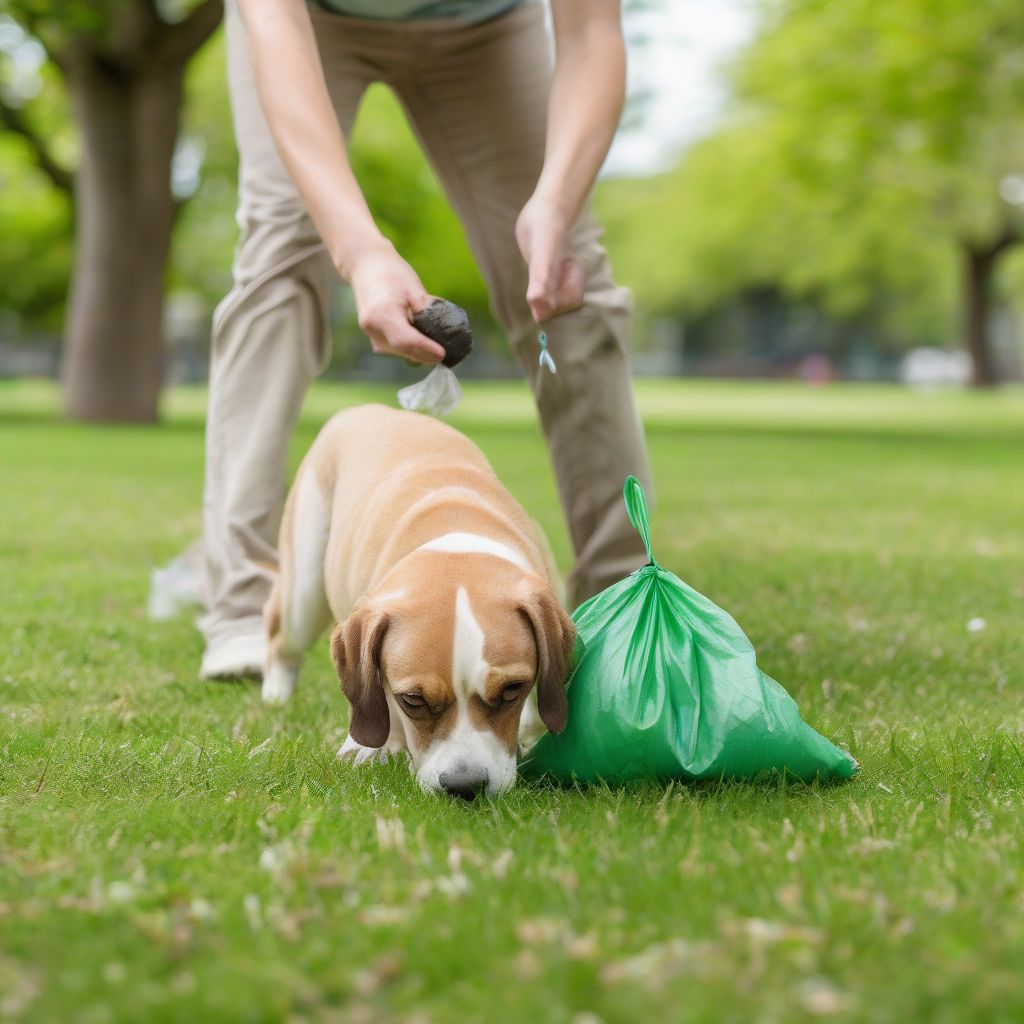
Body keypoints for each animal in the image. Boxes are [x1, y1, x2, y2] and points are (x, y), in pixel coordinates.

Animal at [260, 401, 577, 798]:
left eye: (511, 691)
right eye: (413, 700)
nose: (465, 786)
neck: (456, 534)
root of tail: (365, 408)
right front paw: (369, 746)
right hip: (302, 596)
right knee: (279, 638)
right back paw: (276, 695)